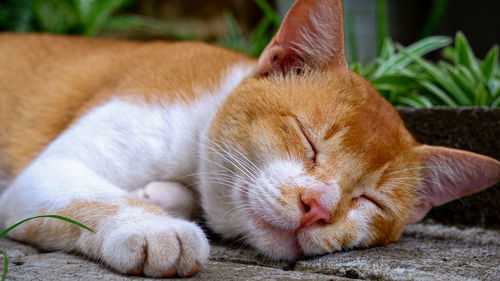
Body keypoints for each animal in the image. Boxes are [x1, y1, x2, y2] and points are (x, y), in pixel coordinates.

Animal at [0, 0, 500, 276]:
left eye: (369, 200)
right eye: (307, 139)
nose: (317, 207)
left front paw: (163, 198)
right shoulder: (48, 170)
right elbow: (97, 195)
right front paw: (154, 227)